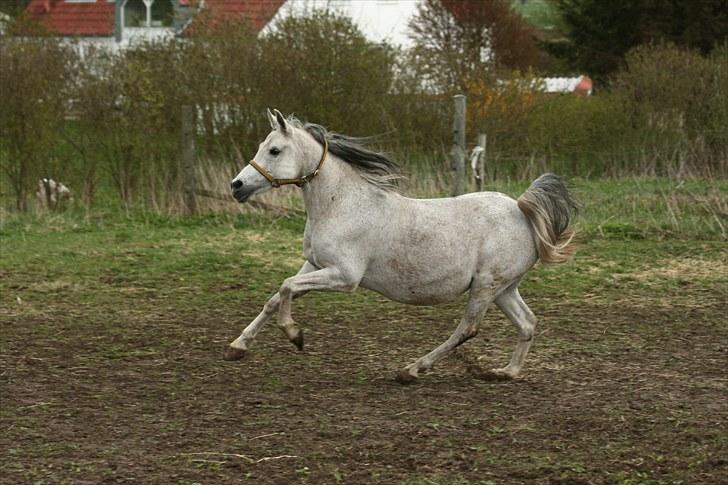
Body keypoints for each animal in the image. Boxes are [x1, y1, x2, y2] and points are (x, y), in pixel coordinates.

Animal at [225, 109, 576, 382]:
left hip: (487, 286)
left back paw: (412, 369)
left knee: (467, 328)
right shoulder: (315, 264)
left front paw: (295, 335)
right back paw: (505, 372)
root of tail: (520, 209)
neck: (342, 205)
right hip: (503, 288)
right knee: (527, 322)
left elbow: (286, 287)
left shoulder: (345, 276)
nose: (236, 186)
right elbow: (275, 297)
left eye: (274, 150)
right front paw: (237, 347)